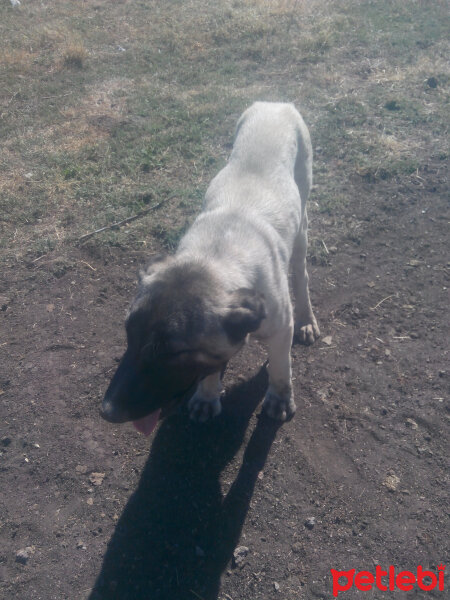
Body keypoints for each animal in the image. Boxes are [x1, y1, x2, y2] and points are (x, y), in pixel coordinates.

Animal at [102, 101, 320, 434]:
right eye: (129, 333)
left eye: (173, 352)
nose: (107, 411)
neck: (214, 253)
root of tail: (275, 103)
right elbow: (209, 371)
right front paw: (206, 396)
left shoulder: (281, 328)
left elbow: (281, 367)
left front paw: (280, 397)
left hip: (302, 229)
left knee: (301, 276)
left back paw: (307, 318)